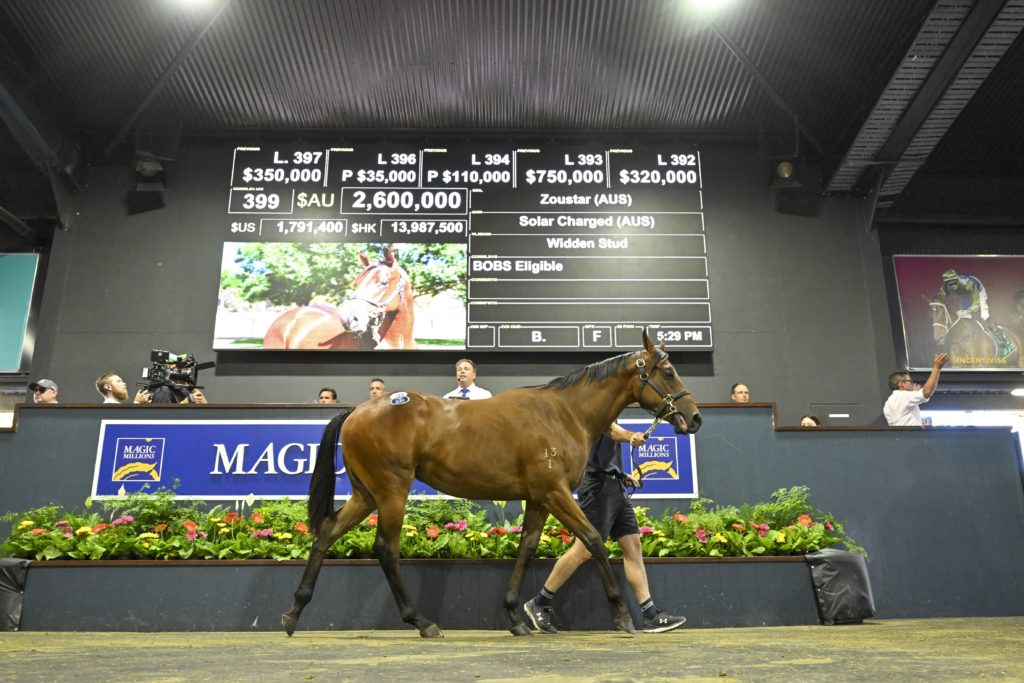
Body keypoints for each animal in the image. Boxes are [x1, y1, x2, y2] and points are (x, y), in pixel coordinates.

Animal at [282, 329, 702, 638]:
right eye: (668, 372)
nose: (694, 417)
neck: (564, 413)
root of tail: (357, 411)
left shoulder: (539, 498)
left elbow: (527, 548)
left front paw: (517, 617)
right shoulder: (555, 493)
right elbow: (594, 539)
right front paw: (622, 615)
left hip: (366, 494)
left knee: (326, 532)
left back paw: (293, 612)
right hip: (391, 492)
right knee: (386, 549)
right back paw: (422, 622)